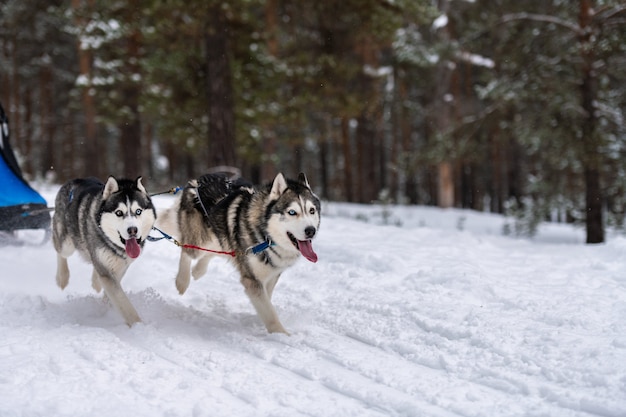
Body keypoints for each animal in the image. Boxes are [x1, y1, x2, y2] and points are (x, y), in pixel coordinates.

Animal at [52, 176, 157, 324]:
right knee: (60, 251)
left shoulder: (119, 267)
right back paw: (62, 277)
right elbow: (123, 302)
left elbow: (112, 294)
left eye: (138, 211)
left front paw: (105, 306)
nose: (133, 230)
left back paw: (95, 281)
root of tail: (74, 180)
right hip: (66, 244)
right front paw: (138, 325)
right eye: (119, 213)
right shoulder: (107, 272)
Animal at [158, 171, 320, 332]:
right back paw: (182, 281)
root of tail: (196, 181)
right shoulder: (251, 279)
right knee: (186, 249)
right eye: (292, 212)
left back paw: (198, 270)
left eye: (312, 211)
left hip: (220, 237)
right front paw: (281, 334)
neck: (266, 237)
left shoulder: (272, 274)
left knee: (211, 252)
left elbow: (267, 301)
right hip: (200, 239)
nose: (311, 231)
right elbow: (270, 313)